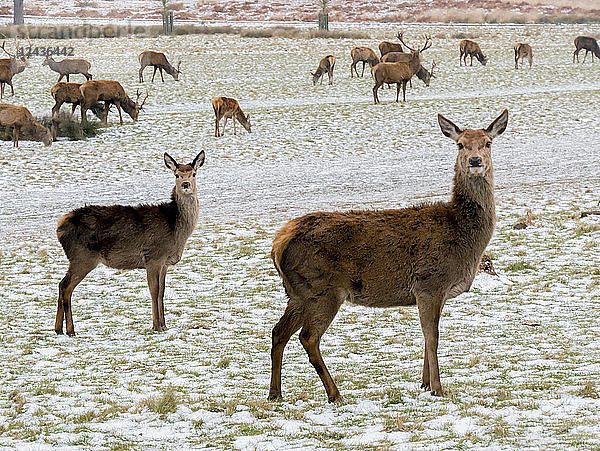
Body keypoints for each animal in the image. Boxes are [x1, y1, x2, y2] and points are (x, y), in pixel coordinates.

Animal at [56, 151, 206, 336]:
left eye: (194, 173)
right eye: (177, 174)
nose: (185, 184)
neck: (176, 230)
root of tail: (59, 227)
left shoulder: (164, 263)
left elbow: (162, 292)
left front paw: (164, 325)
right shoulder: (153, 257)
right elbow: (154, 290)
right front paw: (156, 325)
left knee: (61, 284)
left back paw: (58, 329)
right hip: (82, 257)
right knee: (66, 287)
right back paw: (70, 330)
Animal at [270, 108, 508, 402]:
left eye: (488, 142)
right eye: (460, 144)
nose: (475, 161)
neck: (463, 238)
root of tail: (278, 244)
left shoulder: (433, 292)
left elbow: (426, 336)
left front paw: (424, 384)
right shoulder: (429, 283)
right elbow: (432, 337)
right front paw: (438, 388)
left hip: (296, 293)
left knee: (278, 331)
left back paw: (275, 393)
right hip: (322, 289)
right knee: (308, 337)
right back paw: (335, 393)